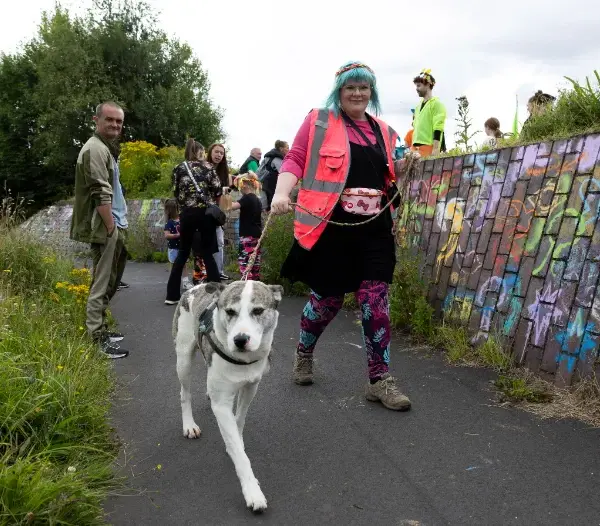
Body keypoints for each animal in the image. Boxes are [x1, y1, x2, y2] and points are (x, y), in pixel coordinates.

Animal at [173, 282, 284, 512]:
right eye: (230, 311)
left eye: (258, 311)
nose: (240, 340)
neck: (243, 359)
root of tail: (194, 287)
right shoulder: (222, 405)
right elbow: (241, 457)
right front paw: (252, 491)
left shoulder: (251, 386)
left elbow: (239, 420)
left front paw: (237, 440)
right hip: (183, 358)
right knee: (184, 392)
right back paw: (189, 425)